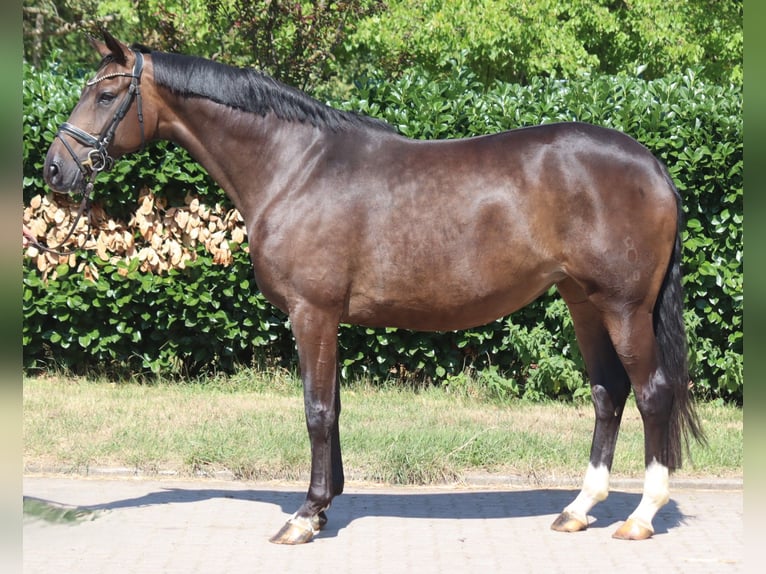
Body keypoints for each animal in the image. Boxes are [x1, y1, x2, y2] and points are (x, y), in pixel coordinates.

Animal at [43, 31, 704, 544]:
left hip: (623, 306)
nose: (55, 168)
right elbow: (332, 407)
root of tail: (651, 163)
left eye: (106, 94)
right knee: (607, 393)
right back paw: (578, 509)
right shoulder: (327, 317)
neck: (296, 167)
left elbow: (316, 409)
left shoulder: (311, 312)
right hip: (583, 301)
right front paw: (324, 506)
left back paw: (641, 516)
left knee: (652, 393)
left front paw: (304, 517)